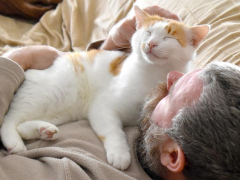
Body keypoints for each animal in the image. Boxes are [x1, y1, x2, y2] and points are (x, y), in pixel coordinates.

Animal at [0, 5, 209, 170]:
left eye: (168, 37)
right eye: (148, 32)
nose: (150, 43)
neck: (152, 74)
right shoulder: (102, 107)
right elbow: (112, 131)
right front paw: (119, 153)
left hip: (60, 110)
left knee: (22, 125)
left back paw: (44, 130)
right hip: (47, 95)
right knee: (9, 120)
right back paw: (15, 142)